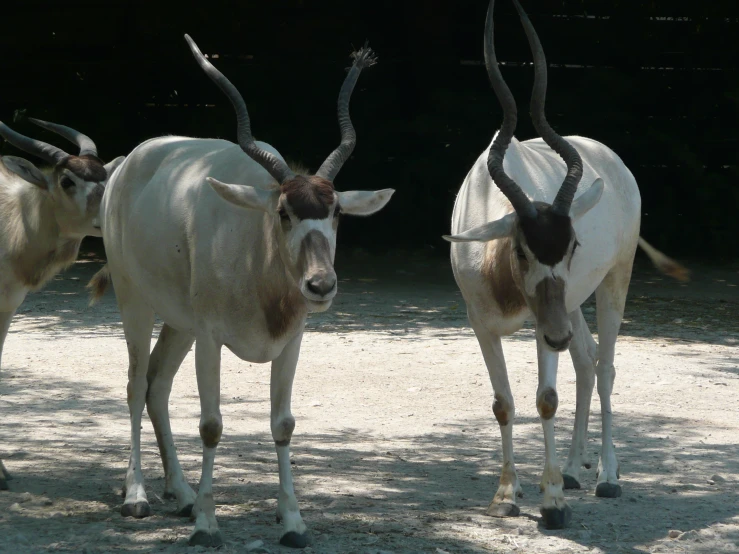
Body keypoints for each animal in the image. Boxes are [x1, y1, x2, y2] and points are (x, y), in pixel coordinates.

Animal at [89, 35, 394, 548]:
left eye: (335, 212)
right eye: (284, 212)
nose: (320, 284)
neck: (257, 252)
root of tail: (130, 163)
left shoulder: (291, 342)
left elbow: (283, 424)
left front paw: (292, 522)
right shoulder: (211, 339)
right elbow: (211, 425)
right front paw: (207, 525)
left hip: (181, 323)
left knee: (158, 384)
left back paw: (182, 493)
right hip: (136, 301)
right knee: (135, 384)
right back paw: (137, 496)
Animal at [446, 0, 688, 528]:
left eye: (572, 244)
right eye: (521, 249)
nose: (554, 335)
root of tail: (614, 161)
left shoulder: (544, 320)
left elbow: (545, 399)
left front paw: (552, 502)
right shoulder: (482, 324)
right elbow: (504, 404)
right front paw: (507, 495)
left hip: (610, 283)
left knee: (606, 364)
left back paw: (606, 477)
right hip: (570, 305)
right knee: (585, 357)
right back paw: (577, 469)